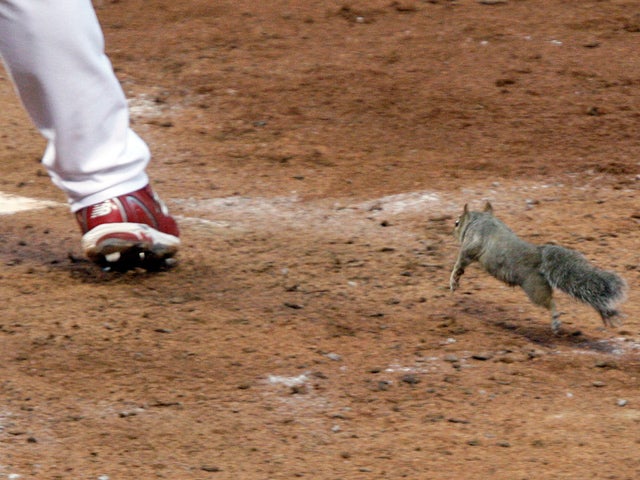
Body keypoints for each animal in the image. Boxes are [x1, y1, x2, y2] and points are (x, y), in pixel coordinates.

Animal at [449, 202, 627, 333]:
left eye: (457, 222)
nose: (453, 229)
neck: (481, 220)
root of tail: (540, 255)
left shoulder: (471, 246)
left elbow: (460, 263)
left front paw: (454, 281)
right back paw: (608, 313)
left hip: (534, 287)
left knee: (550, 302)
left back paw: (555, 321)